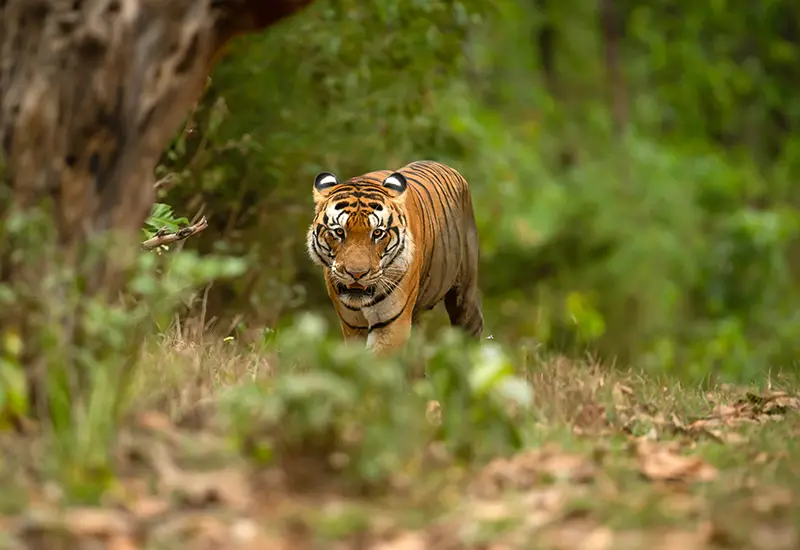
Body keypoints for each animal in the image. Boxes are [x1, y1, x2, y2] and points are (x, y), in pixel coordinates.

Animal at [304, 160, 482, 358]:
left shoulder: (391, 323)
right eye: (339, 232)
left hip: (464, 292)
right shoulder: (352, 325)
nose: (356, 274)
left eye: (377, 233)